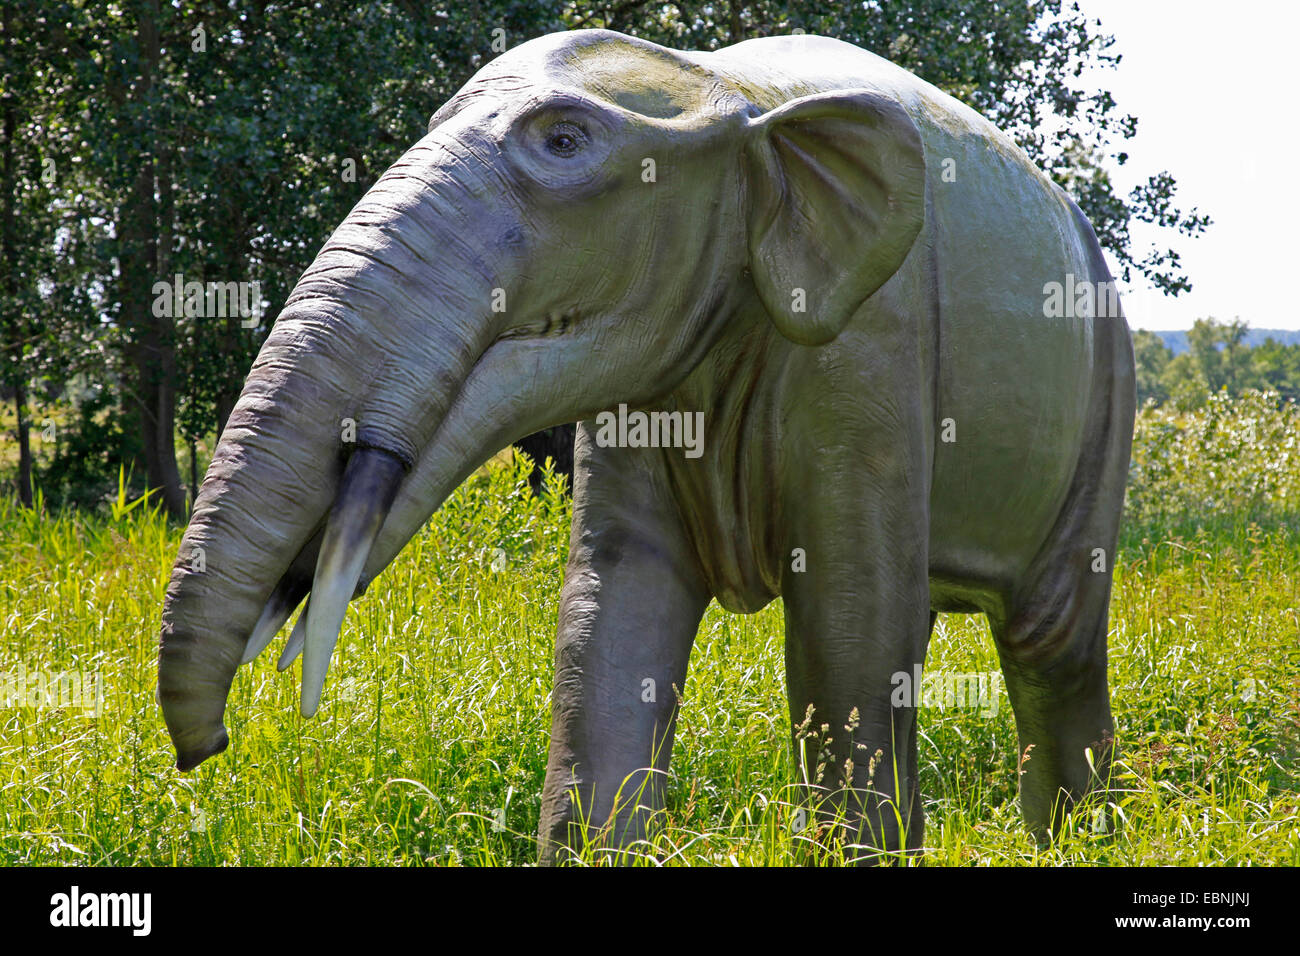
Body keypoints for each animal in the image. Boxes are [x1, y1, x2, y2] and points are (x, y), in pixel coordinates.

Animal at [156, 28, 1136, 863]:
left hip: (1106, 393)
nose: (214, 746)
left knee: (1051, 643)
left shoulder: (872, 345)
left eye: (564, 140)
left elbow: (848, 619)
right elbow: (614, 598)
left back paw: (1078, 843)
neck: (732, 91)